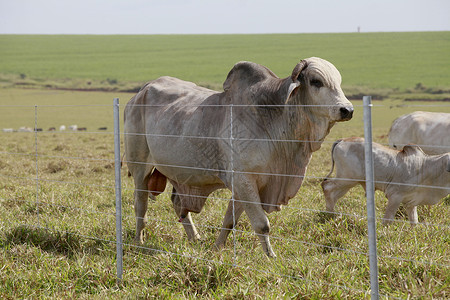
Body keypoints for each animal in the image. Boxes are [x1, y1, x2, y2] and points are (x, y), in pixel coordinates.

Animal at [125, 57, 354, 256]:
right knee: (141, 205)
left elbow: (230, 221)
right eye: (316, 81)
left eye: (339, 81)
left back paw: (195, 238)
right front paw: (271, 257)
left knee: (178, 204)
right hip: (139, 167)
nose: (347, 109)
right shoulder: (244, 180)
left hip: (180, 174)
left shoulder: (248, 184)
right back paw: (139, 240)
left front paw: (217, 248)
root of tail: (141, 92)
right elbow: (262, 225)